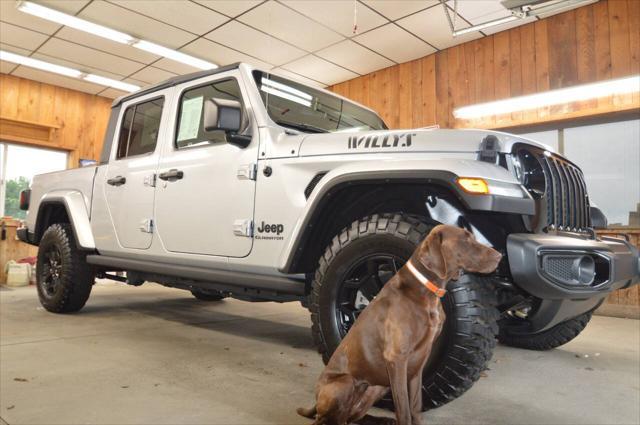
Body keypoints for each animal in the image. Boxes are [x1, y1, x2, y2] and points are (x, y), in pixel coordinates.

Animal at [298, 224, 502, 422]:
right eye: (465, 240)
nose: (500, 256)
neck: (425, 290)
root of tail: (316, 400)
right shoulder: (397, 358)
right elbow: (403, 410)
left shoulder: (417, 364)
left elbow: (415, 407)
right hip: (346, 382)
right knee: (325, 419)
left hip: (377, 388)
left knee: (350, 417)